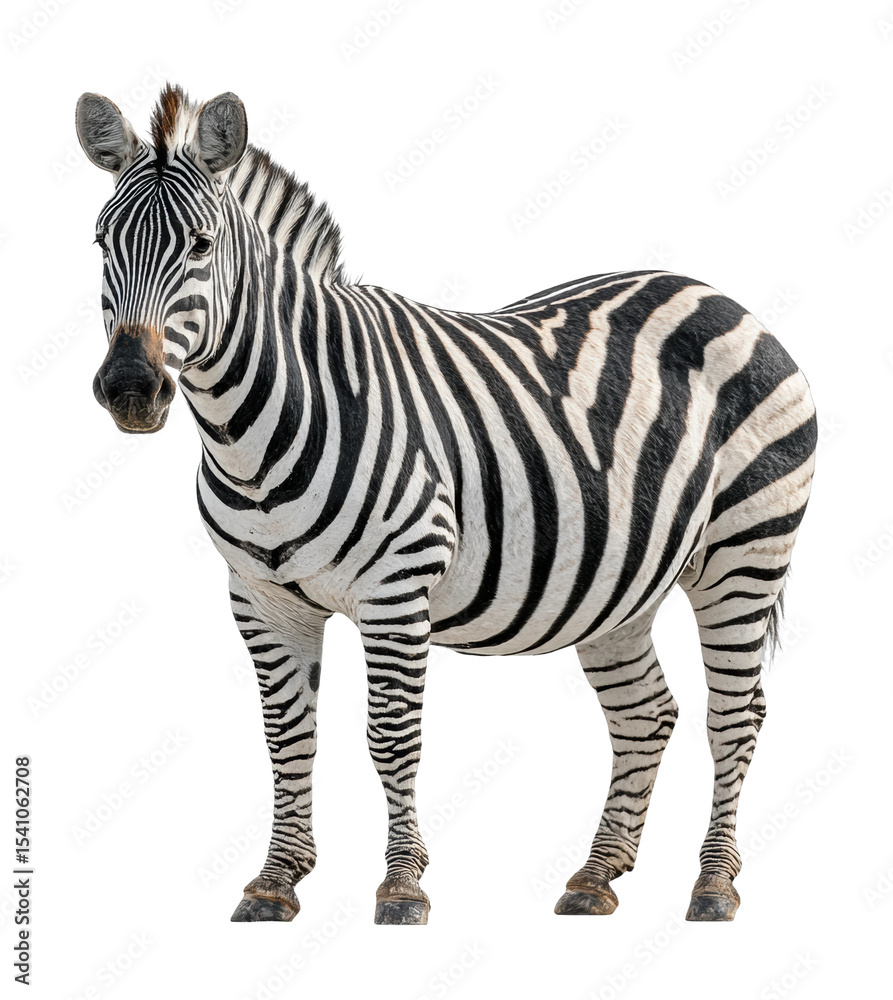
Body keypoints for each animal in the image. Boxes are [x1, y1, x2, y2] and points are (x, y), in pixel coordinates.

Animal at [75, 84, 817, 925]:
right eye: (100, 244)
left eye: (200, 246)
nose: (131, 389)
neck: (256, 428)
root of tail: (712, 292)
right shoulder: (261, 598)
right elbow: (286, 738)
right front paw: (274, 881)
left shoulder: (396, 588)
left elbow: (391, 736)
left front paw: (401, 886)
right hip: (622, 585)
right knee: (645, 714)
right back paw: (596, 876)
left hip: (745, 553)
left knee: (734, 715)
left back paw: (713, 885)